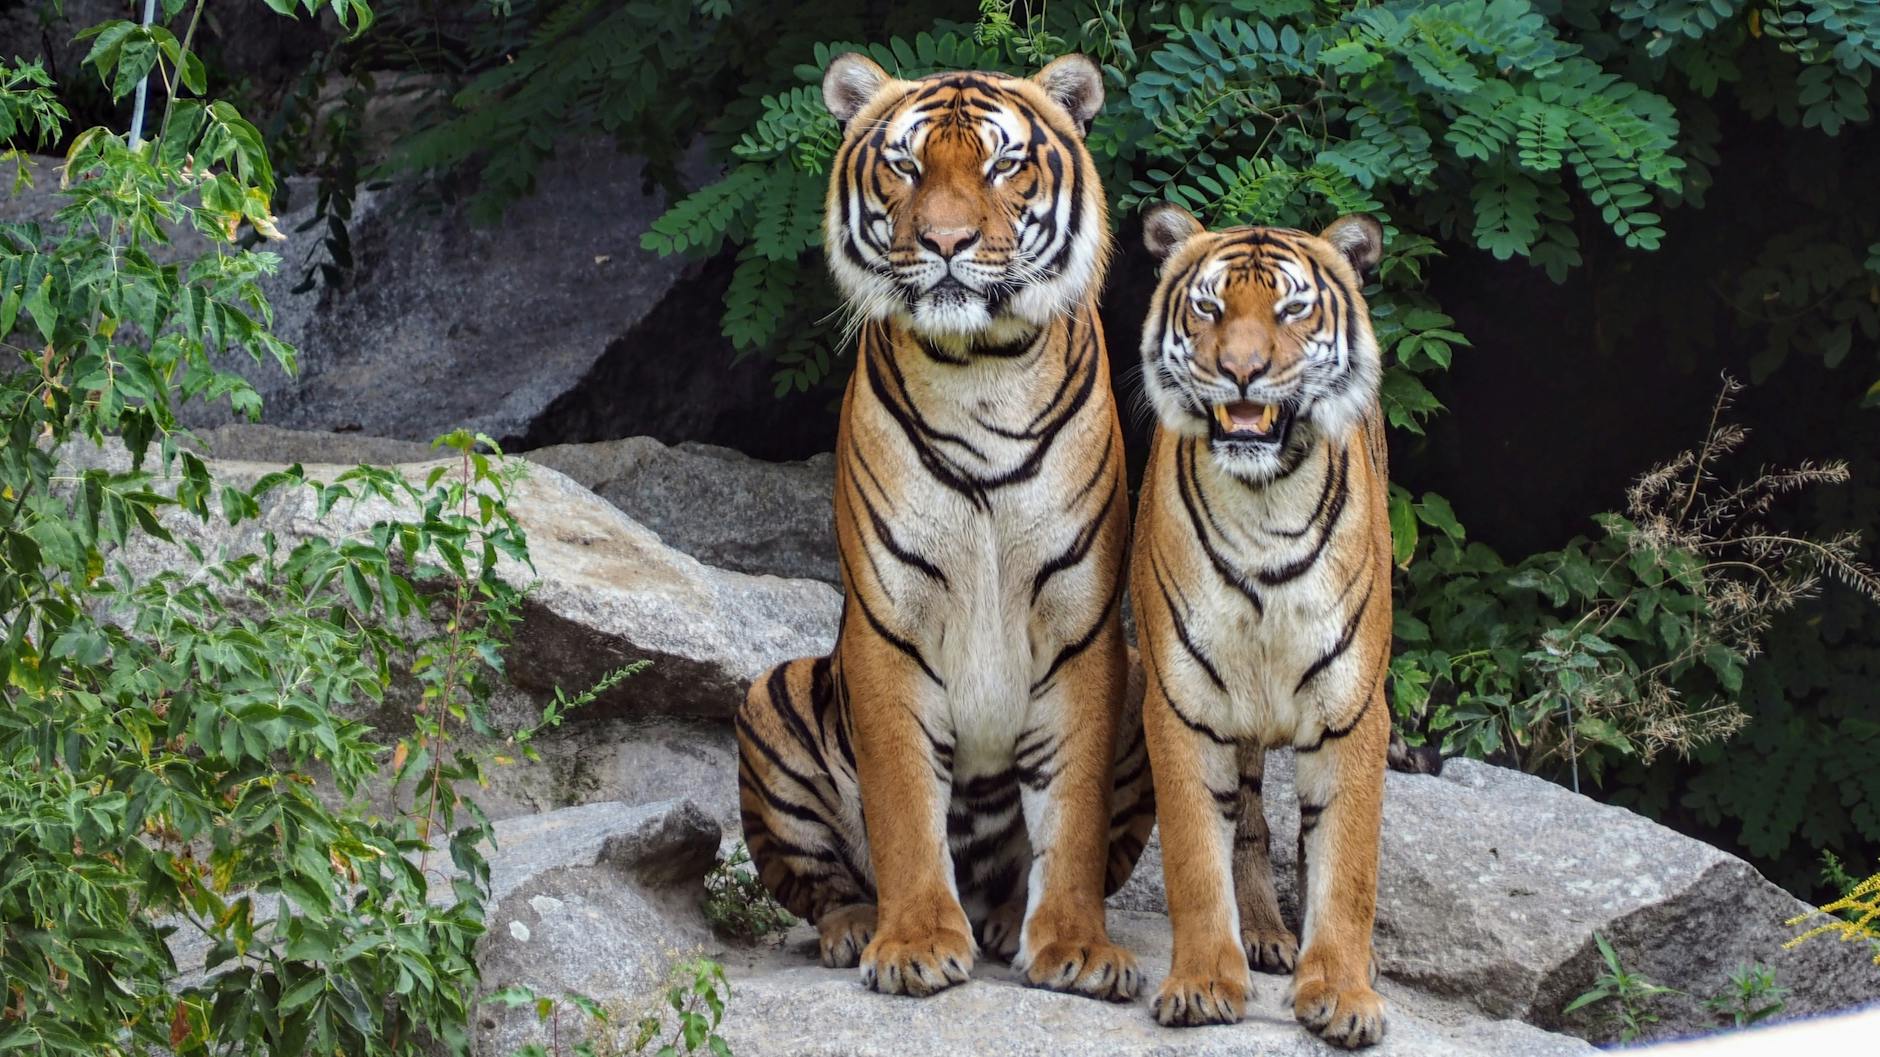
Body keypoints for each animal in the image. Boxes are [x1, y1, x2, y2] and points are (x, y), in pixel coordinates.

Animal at [732, 52, 1154, 1002]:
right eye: (906, 165)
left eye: (1002, 166)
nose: (947, 243)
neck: (981, 369)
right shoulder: (889, 622)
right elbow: (901, 804)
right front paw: (917, 941)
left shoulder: (1082, 627)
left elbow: (1071, 816)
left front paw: (1076, 945)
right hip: (772, 693)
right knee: (820, 884)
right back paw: (857, 925)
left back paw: (1004, 921)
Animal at [1128, 203, 1395, 1048]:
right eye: (1210, 309)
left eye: (1291, 309)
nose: (1241, 371)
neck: (1264, 505)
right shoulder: (1181, 703)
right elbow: (1193, 853)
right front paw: (1202, 981)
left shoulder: (1354, 710)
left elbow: (1346, 865)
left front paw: (1342, 990)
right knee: (1247, 821)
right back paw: (1264, 934)